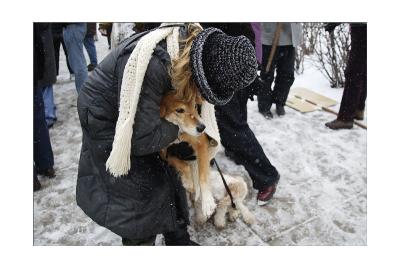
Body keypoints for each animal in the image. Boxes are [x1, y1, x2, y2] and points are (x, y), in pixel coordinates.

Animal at [159, 92, 255, 228]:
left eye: (195, 105)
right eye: (179, 110)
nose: (202, 127)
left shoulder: (201, 144)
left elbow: (202, 175)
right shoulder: (163, 150)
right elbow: (182, 165)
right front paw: (189, 182)